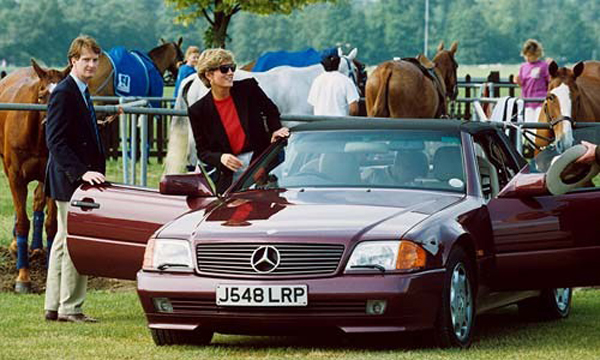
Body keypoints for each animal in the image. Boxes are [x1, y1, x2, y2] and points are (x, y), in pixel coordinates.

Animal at [0, 59, 69, 292]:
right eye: (41, 96)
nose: (52, 123)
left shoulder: (51, 177)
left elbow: (51, 224)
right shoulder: (15, 178)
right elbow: (22, 221)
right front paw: (23, 277)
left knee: (38, 201)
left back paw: (38, 248)